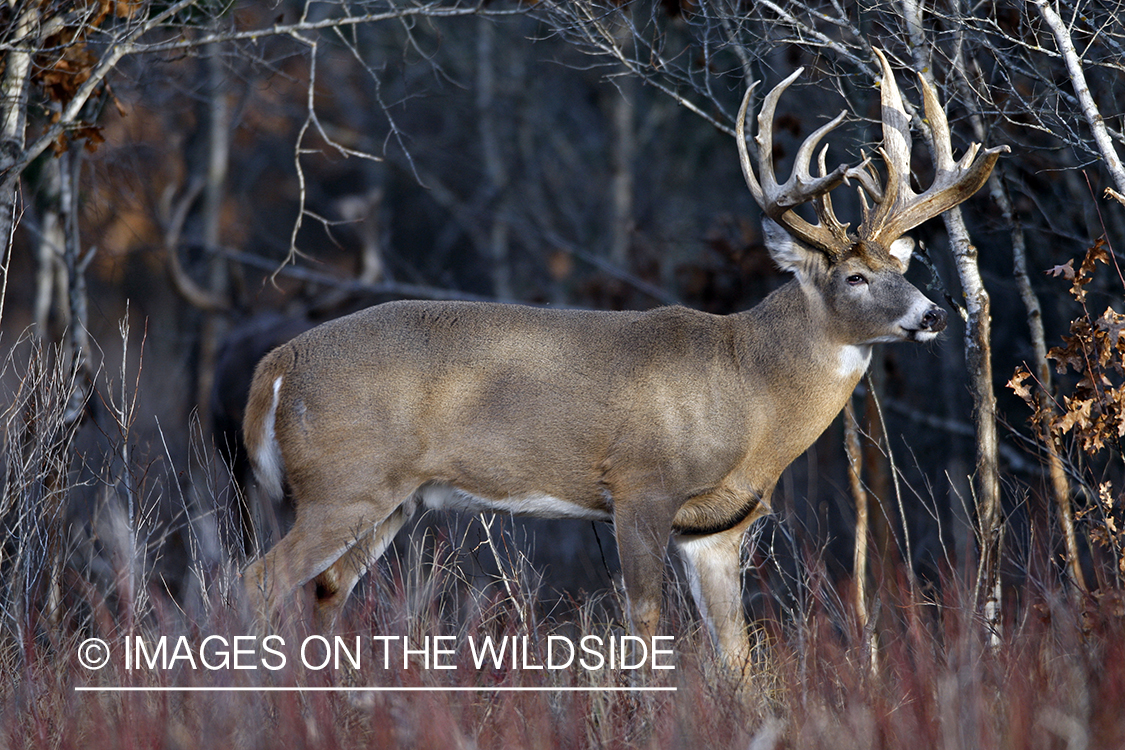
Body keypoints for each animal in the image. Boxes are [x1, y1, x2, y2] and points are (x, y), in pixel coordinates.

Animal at [241, 54, 1008, 674]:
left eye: (903, 267)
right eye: (853, 276)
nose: (933, 315)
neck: (750, 390)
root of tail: (275, 365)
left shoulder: (715, 529)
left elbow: (736, 658)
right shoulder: (640, 487)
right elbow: (645, 626)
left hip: (393, 500)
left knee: (326, 589)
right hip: (344, 485)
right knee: (255, 582)